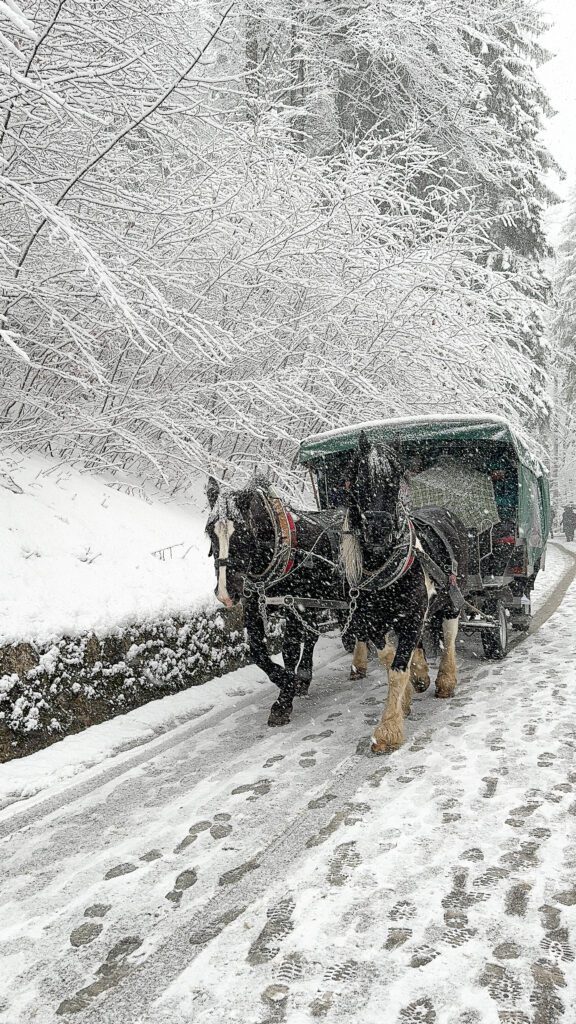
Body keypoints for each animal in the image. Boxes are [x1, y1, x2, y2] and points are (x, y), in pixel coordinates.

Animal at [204, 477, 340, 729]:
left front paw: (283, 701)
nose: (226, 593)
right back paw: (304, 677)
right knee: (312, 633)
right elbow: (257, 652)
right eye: (210, 532)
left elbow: (289, 650)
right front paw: (287, 681)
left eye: (243, 532)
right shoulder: (253, 606)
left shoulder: (294, 604)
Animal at [340, 432, 467, 753]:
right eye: (359, 479)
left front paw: (387, 730)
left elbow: (398, 667)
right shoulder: (375, 623)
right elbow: (390, 661)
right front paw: (409, 693)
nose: (378, 529)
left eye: (395, 480)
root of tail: (445, 510)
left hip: (451, 600)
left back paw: (446, 680)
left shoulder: (410, 616)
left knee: (449, 636)